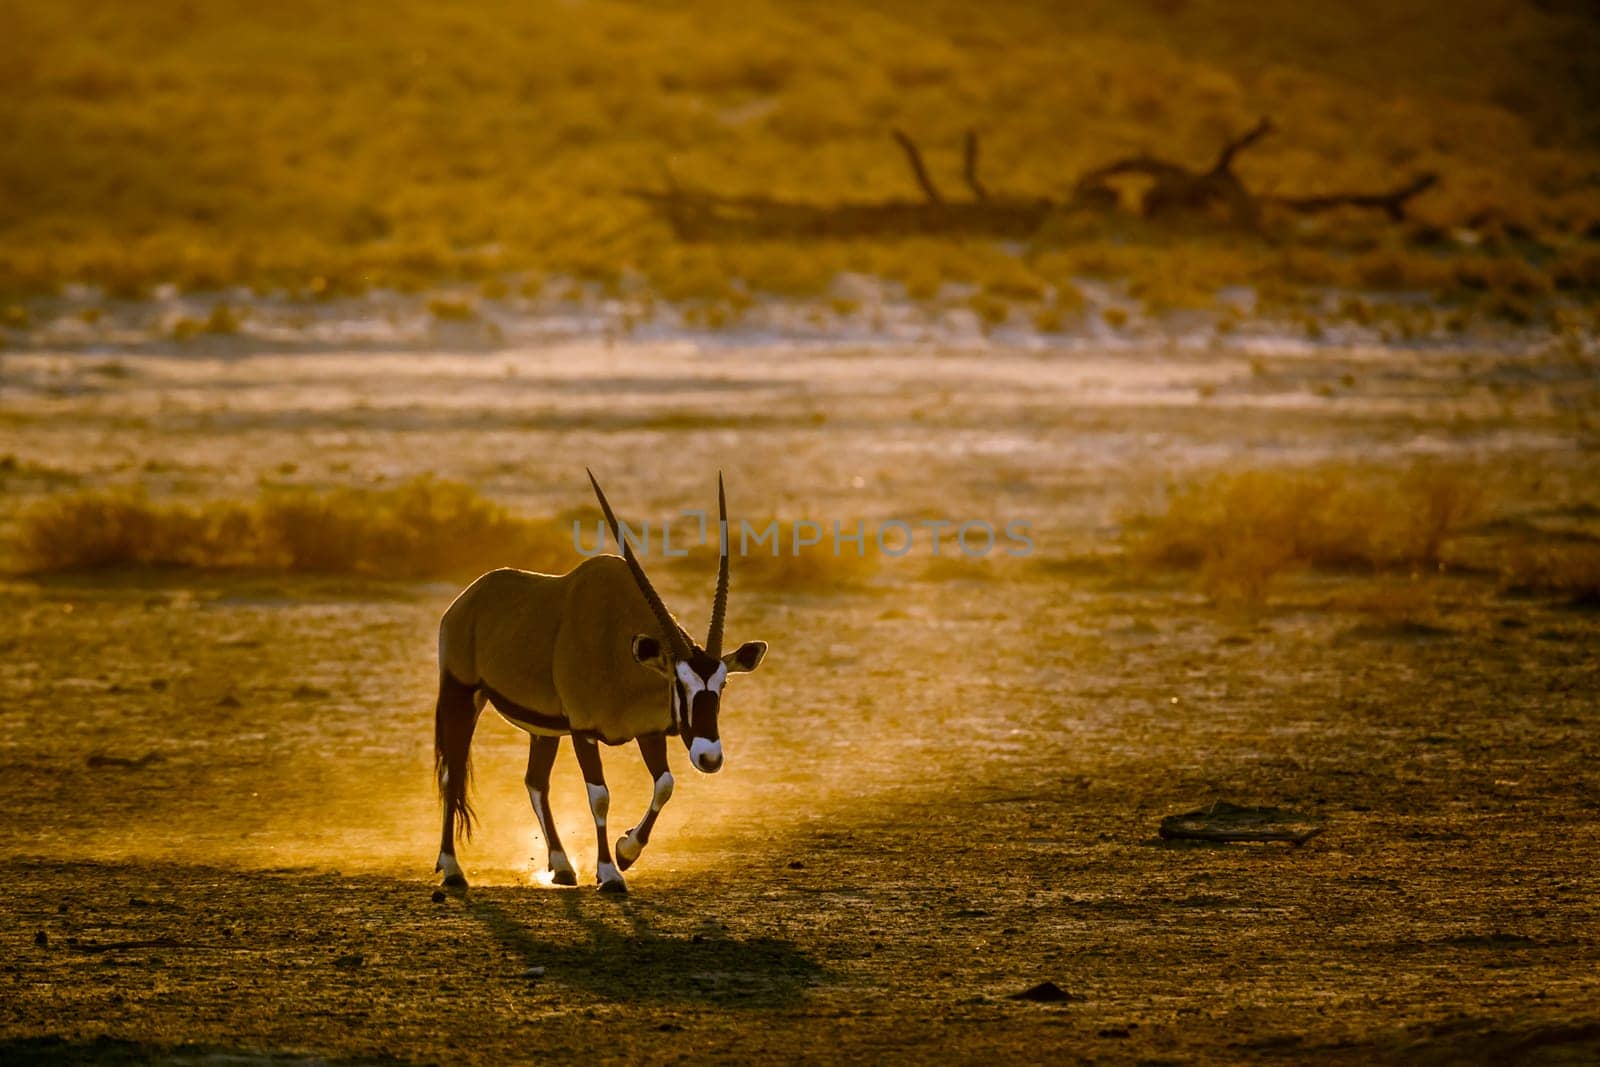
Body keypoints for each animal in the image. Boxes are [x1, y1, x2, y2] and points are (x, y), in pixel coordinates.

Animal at [435, 470, 764, 889]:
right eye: (680, 684)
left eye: (721, 686)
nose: (709, 757)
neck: (621, 649)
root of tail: (468, 599)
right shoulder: (582, 731)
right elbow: (600, 796)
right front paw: (609, 872)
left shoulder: (648, 731)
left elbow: (665, 784)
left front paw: (626, 852)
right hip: (461, 694)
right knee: (452, 774)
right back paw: (452, 867)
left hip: (543, 729)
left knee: (535, 782)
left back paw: (561, 865)